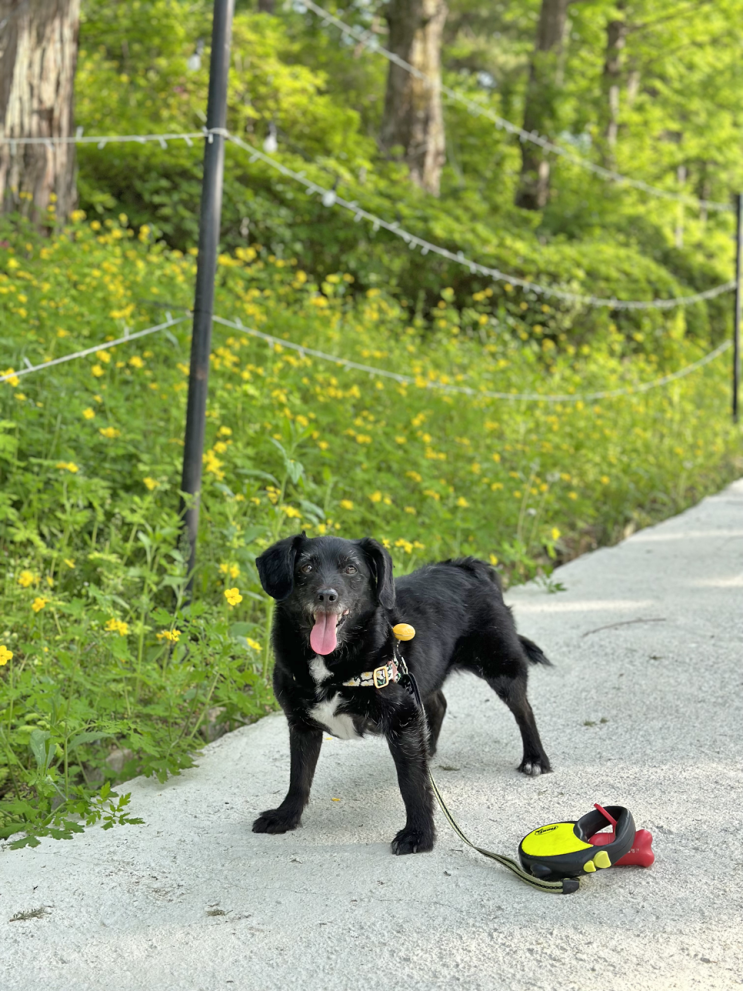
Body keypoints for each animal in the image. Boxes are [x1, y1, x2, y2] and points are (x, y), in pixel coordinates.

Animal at [253, 536, 548, 852]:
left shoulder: (402, 719)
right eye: (305, 567)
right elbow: (298, 777)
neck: (333, 663)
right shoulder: (302, 725)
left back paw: (535, 759)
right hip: (422, 677)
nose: (326, 596)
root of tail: (467, 566)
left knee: (524, 710)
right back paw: (428, 750)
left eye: (351, 568)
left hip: (500, 666)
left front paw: (419, 834)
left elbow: (411, 783)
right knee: (438, 705)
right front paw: (286, 816)